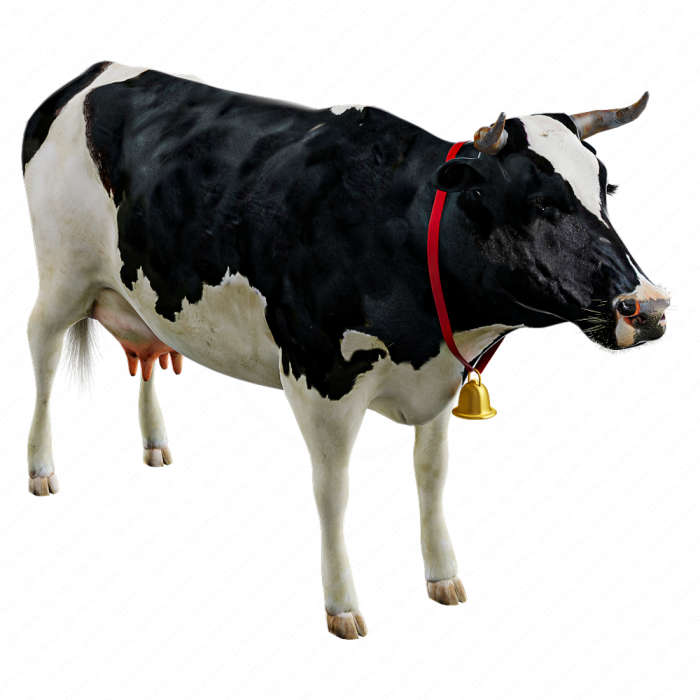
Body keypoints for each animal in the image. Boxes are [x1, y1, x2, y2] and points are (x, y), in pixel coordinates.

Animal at [21, 61, 672, 640]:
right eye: (540, 203)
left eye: (602, 190)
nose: (649, 305)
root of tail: (85, 77)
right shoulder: (320, 381)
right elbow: (334, 492)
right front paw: (342, 610)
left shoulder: (436, 383)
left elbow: (432, 477)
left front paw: (444, 583)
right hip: (61, 277)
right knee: (44, 358)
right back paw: (41, 472)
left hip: (138, 294)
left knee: (147, 356)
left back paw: (157, 447)